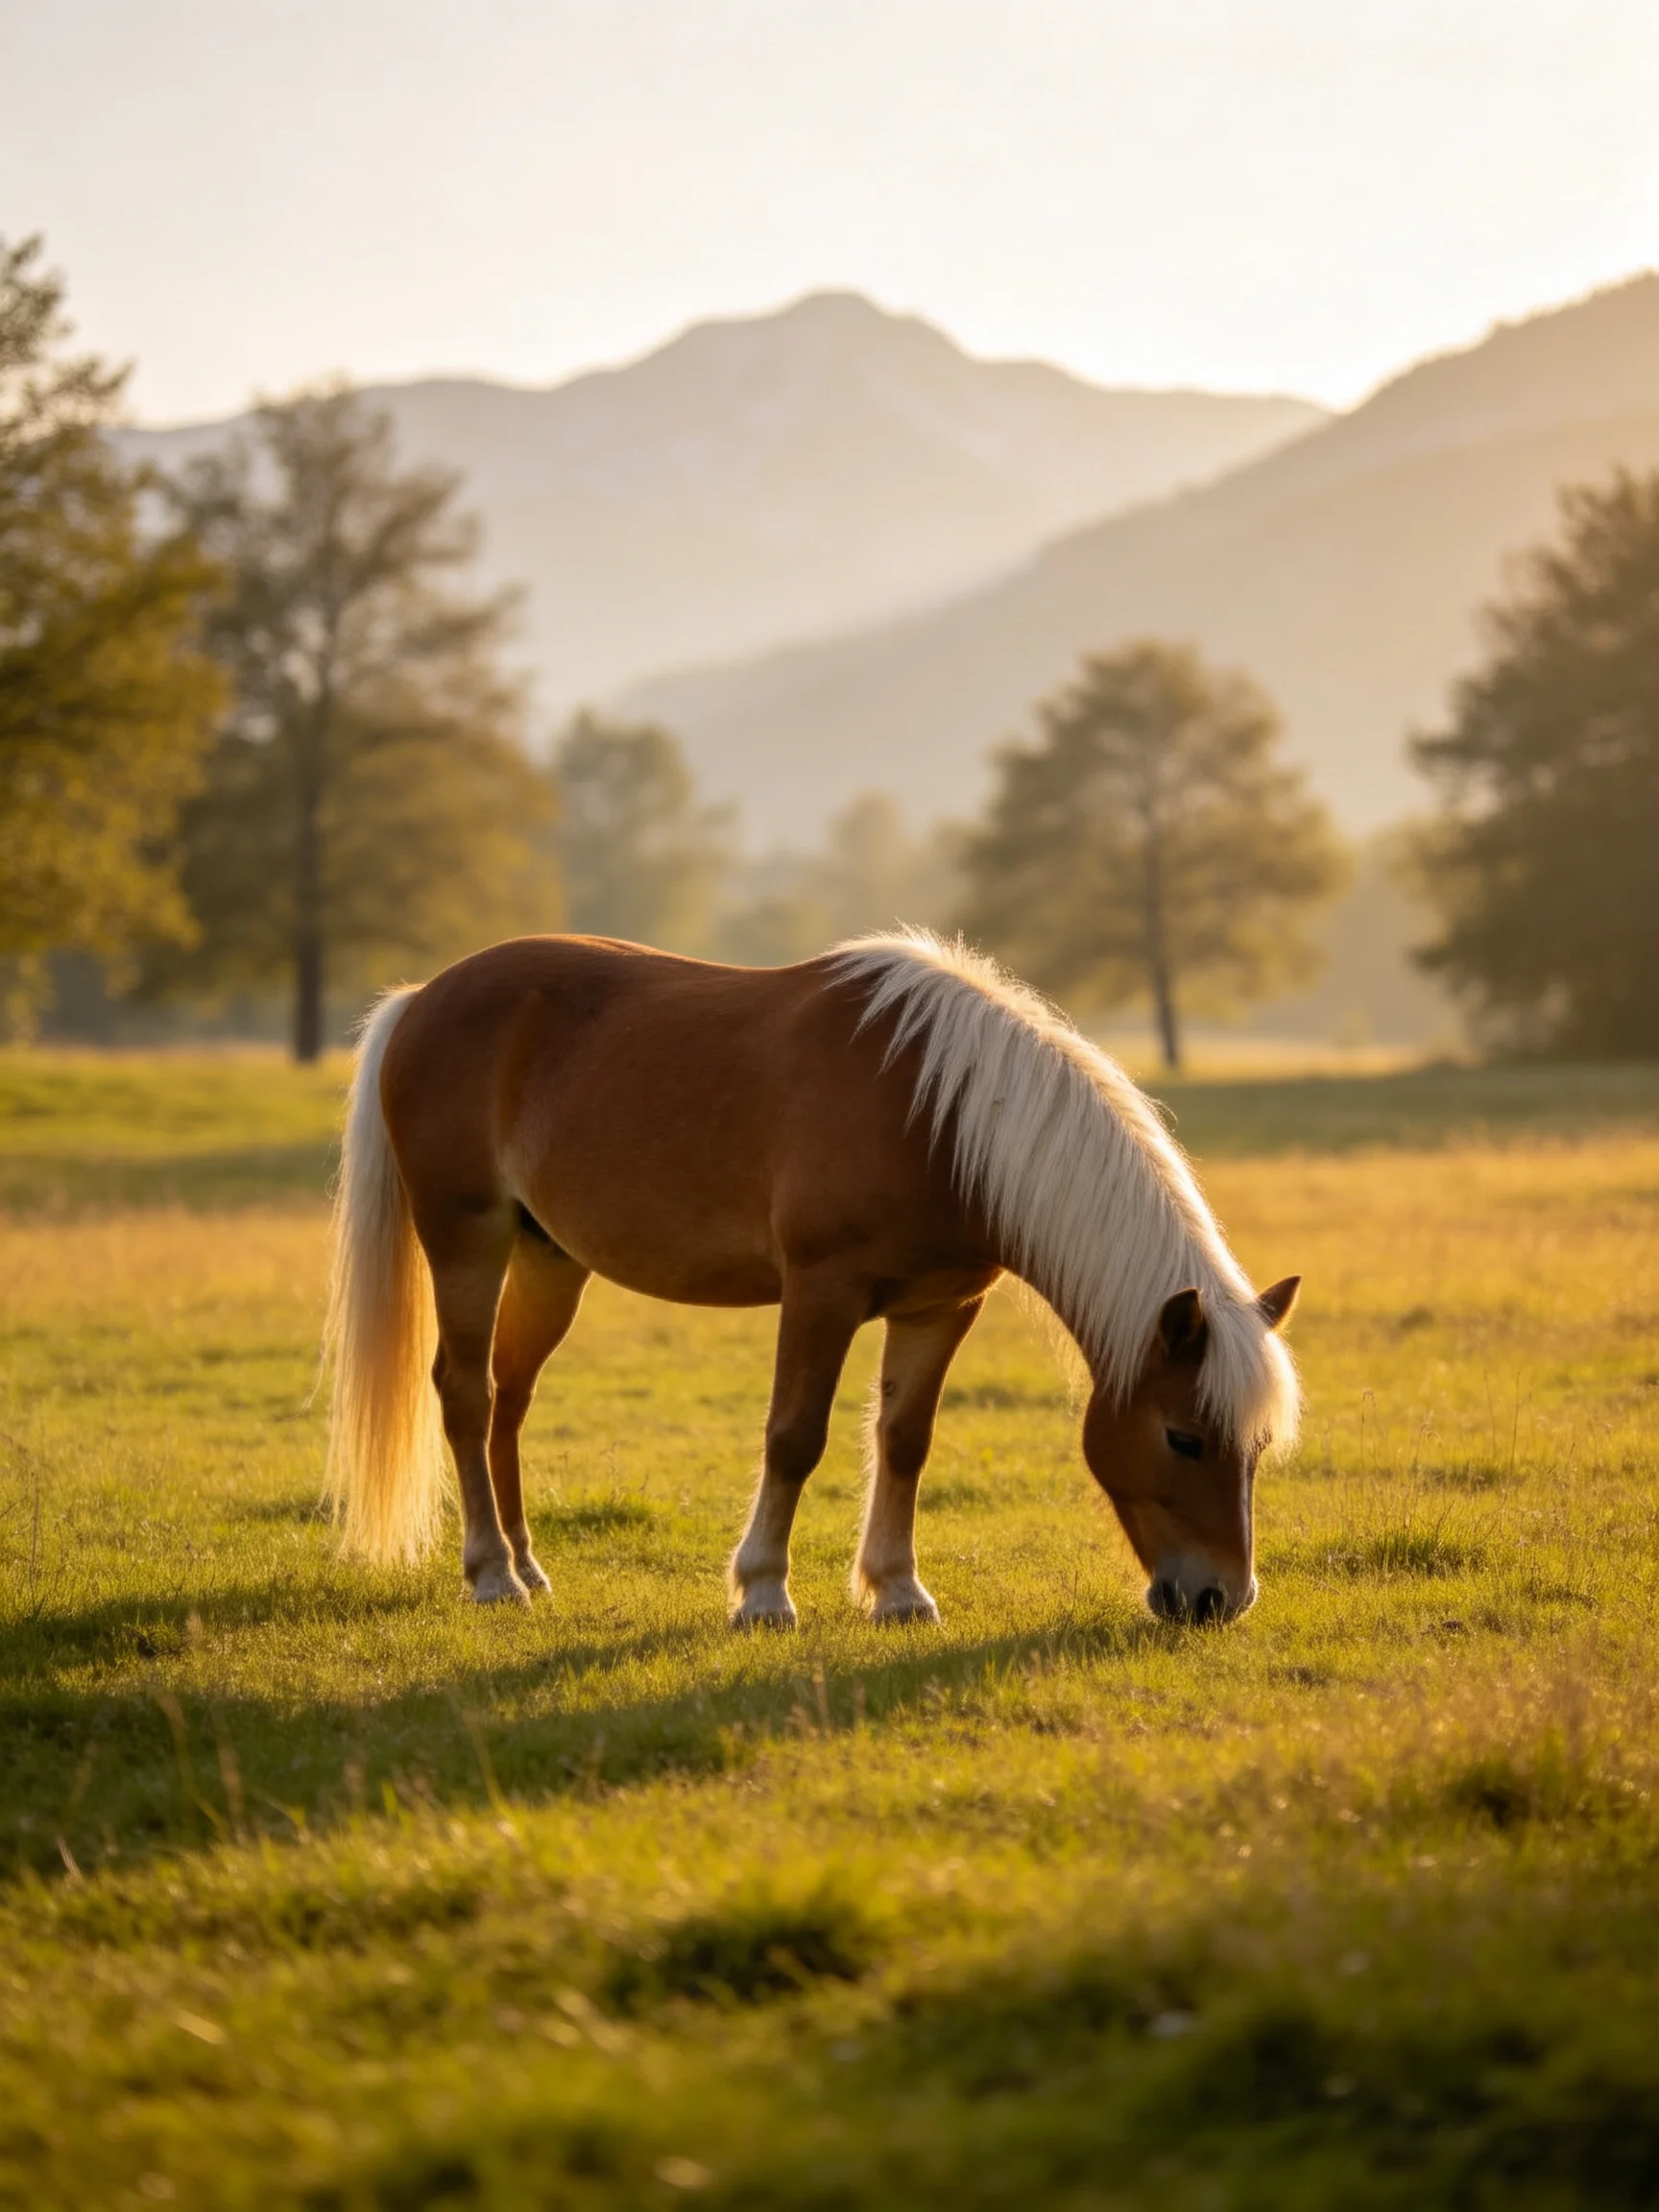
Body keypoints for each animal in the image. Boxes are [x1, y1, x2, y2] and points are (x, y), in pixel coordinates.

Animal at [324, 929, 1301, 1625]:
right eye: (1182, 1437)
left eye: (1255, 1446)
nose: (1219, 1600)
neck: (941, 1117)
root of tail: (421, 999)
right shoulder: (820, 1294)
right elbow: (795, 1437)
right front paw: (762, 1592)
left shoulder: (942, 1307)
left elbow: (904, 1441)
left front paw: (899, 1591)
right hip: (467, 1241)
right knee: (464, 1392)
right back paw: (491, 1574)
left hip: (549, 1262)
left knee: (511, 1396)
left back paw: (528, 1565)